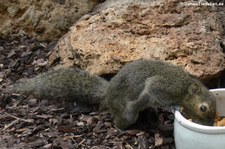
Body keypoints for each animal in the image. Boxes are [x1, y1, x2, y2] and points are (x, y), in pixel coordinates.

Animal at [7, 59, 217, 129]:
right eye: (203, 108)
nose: (209, 124)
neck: (185, 87)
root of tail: (107, 94)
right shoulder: (162, 86)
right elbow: (156, 91)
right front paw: (174, 106)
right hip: (127, 112)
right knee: (119, 120)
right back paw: (121, 129)